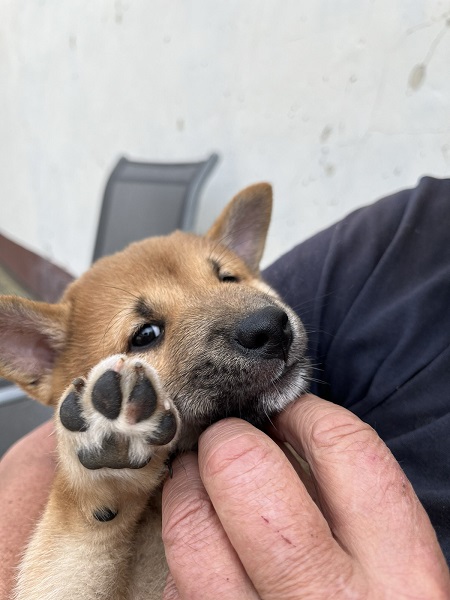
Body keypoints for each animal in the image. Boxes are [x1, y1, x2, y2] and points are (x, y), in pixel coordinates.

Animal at [0, 184, 310, 600]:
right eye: (145, 335)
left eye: (229, 278)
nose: (272, 327)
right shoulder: (58, 580)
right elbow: (72, 533)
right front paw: (106, 455)